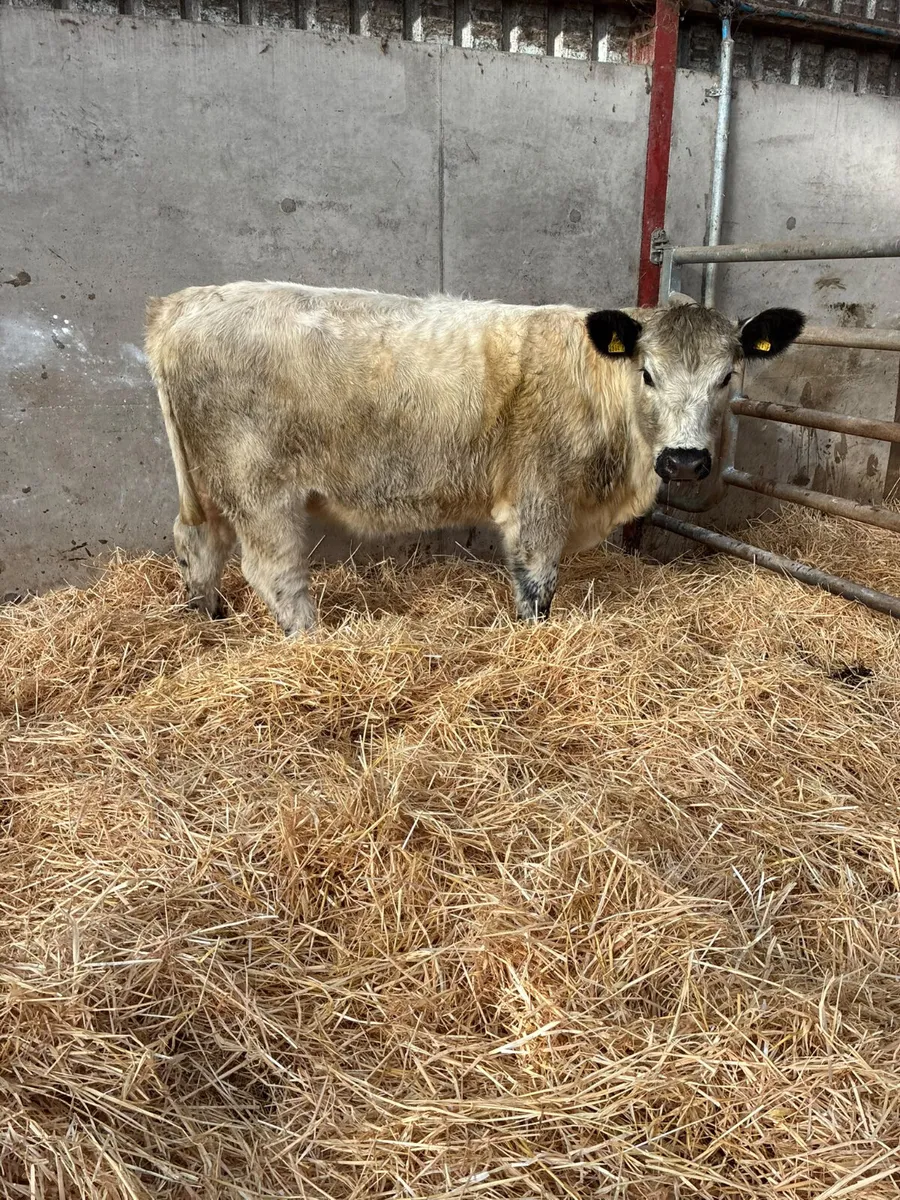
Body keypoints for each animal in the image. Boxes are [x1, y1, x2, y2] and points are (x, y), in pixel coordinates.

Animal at [145, 283, 804, 635]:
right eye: (648, 373)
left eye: (727, 376)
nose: (686, 462)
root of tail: (183, 304)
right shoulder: (541, 495)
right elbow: (537, 583)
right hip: (259, 489)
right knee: (274, 573)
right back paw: (312, 642)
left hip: (209, 486)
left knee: (197, 544)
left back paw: (206, 621)